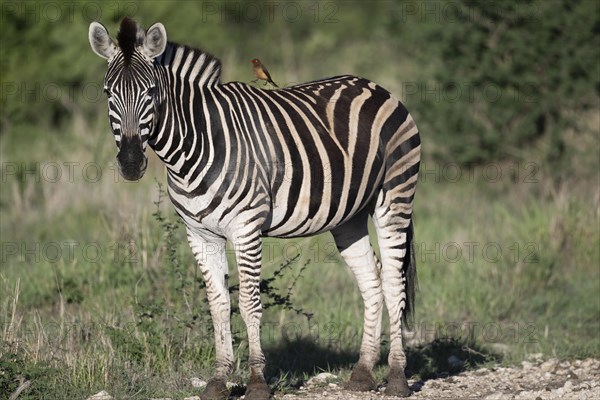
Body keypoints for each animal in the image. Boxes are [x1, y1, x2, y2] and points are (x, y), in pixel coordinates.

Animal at [89, 18, 422, 400]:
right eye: (108, 93)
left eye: (151, 93)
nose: (130, 164)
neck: (194, 147)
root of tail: (377, 87)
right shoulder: (200, 234)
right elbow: (218, 306)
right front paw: (218, 381)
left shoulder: (246, 227)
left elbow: (249, 304)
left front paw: (257, 381)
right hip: (349, 216)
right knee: (372, 280)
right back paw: (363, 373)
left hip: (394, 196)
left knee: (394, 282)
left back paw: (396, 378)